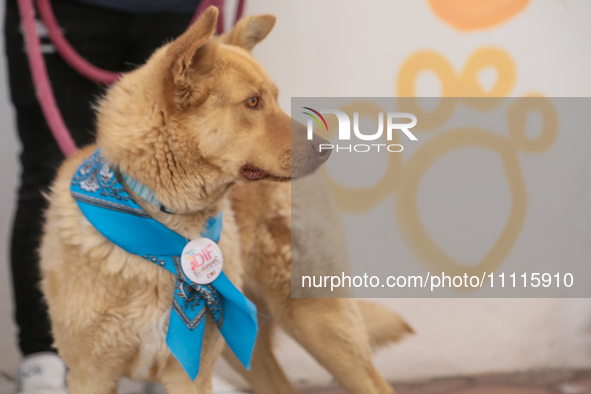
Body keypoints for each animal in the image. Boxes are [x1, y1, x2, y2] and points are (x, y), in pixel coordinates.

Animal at [40, 6, 412, 394]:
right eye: (252, 102)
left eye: (275, 98)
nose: (326, 150)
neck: (164, 232)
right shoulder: (90, 375)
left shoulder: (191, 373)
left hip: (318, 320)